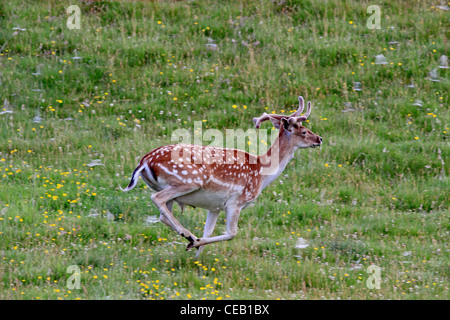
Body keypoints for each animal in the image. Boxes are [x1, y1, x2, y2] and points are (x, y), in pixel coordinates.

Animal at [121, 96, 322, 256]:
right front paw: (195, 243)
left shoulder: (215, 207)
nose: (319, 139)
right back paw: (189, 235)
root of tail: (144, 162)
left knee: (163, 214)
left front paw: (196, 257)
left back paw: (189, 237)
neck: (262, 173)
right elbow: (232, 233)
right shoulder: (236, 202)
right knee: (157, 198)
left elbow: (208, 232)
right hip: (187, 181)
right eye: (304, 131)